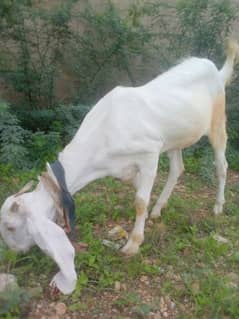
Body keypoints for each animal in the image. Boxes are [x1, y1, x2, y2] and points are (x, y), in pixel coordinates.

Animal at [0, 42, 238, 296]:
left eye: (11, 227)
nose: (14, 255)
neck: (104, 133)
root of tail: (216, 70)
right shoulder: (123, 168)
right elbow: (139, 192)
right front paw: (148, 215)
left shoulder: (150, 154)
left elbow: (140, 201)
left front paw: (133, 244)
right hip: (174, 139)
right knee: (177, 168)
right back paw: (159, 208)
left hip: (217, 125)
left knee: (221, 165)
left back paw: (218, 206)